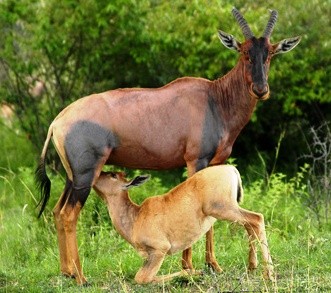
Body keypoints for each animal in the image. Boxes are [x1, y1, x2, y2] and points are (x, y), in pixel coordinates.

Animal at [93, 165, 274, 284]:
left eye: (113, 175)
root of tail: (232, 170)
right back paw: (252, 267)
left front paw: (196, 272)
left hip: (223, 208)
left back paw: (269, 275)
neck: (136, 217)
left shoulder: (160, 249)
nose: (96, 174)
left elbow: (142, 278)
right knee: (250, 225)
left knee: (257, 219)